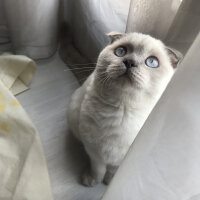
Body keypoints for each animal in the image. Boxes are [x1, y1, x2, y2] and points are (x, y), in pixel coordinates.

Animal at [67, 31, 183, 186]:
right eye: (121, 52)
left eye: (152, 62)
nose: (130, 62)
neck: (123, 111)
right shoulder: (94, 151)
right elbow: (98, 169)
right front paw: (93, 180)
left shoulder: (121, 160)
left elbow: (112, 172)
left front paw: (108, 183)